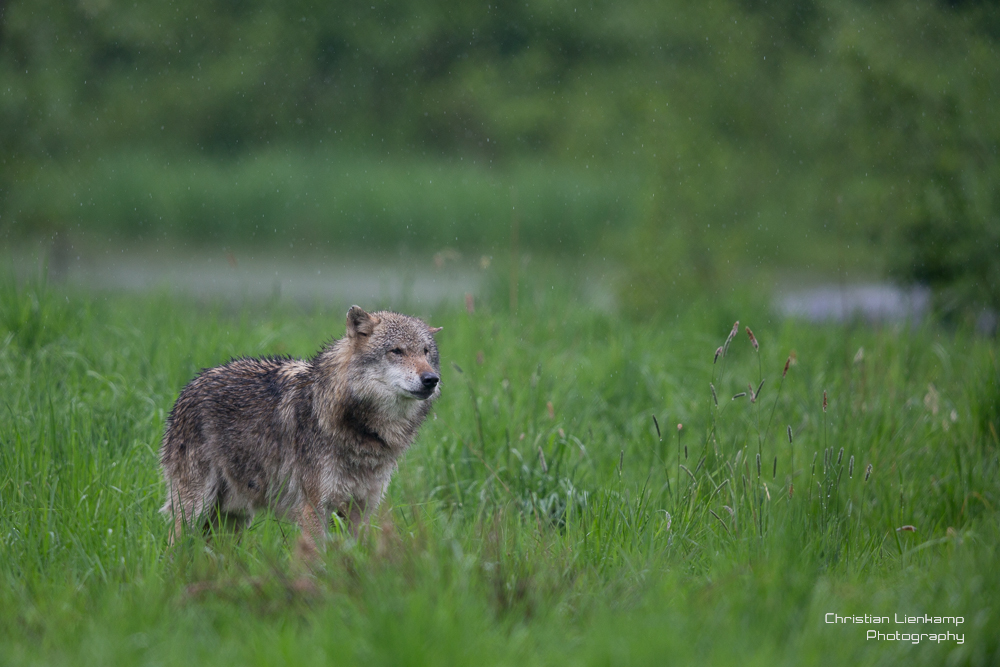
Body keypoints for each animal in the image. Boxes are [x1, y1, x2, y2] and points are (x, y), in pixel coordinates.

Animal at [160, 304, 442, 552]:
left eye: (426, 352)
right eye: (397, 351)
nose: (431, 379)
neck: (363, 430)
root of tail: (190, 386)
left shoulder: (361, 509)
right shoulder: (314, 507)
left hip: (233, 518)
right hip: (196, 508)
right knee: (173, 546)